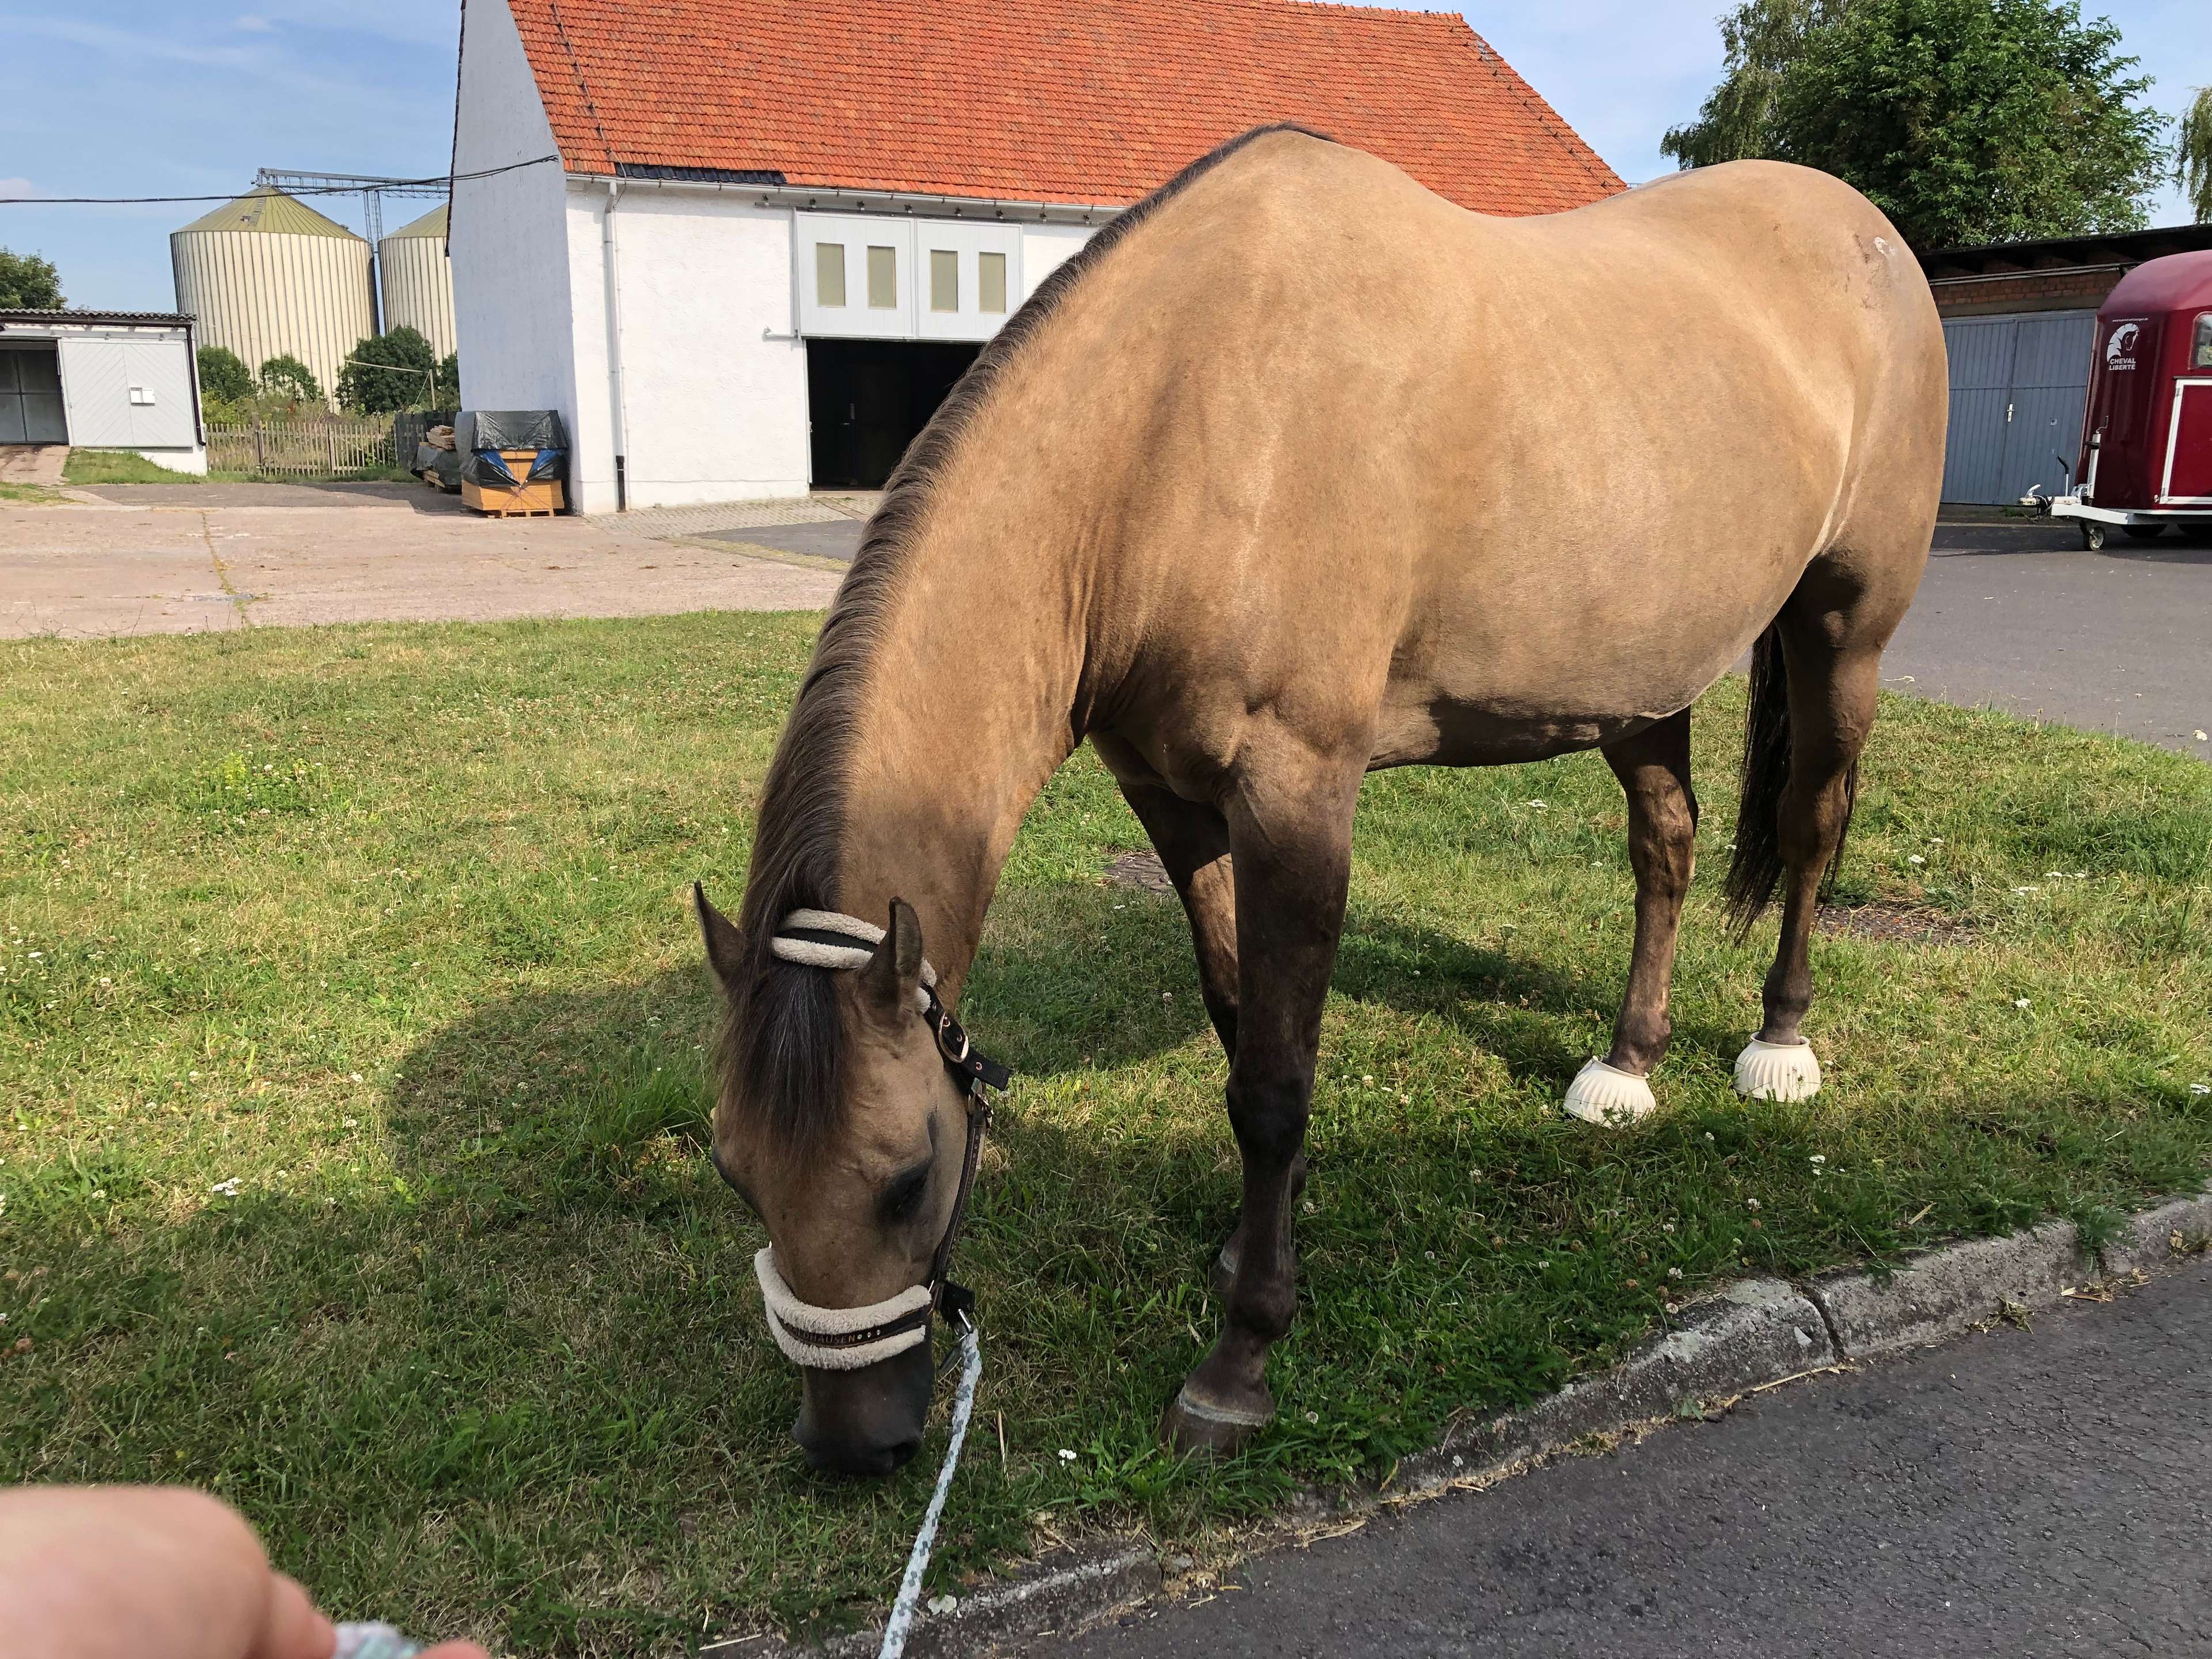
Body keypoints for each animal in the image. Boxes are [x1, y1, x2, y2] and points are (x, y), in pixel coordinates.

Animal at [694, 125, 1947, 1474]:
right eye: (736, 1173)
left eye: (910, 1177)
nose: (854, 1447)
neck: (1177, 429)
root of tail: (1862, 231)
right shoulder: (1173, 798)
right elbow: (1242, 1018)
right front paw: (1259, 1236)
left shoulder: (1298, 795)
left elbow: (1274, 1086)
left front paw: (1241, 1358)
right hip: (1635, 681)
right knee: (1665, 843)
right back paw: (1625, 1067)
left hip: (1843, 631)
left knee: (1812, 829)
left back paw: (1780, 1045)